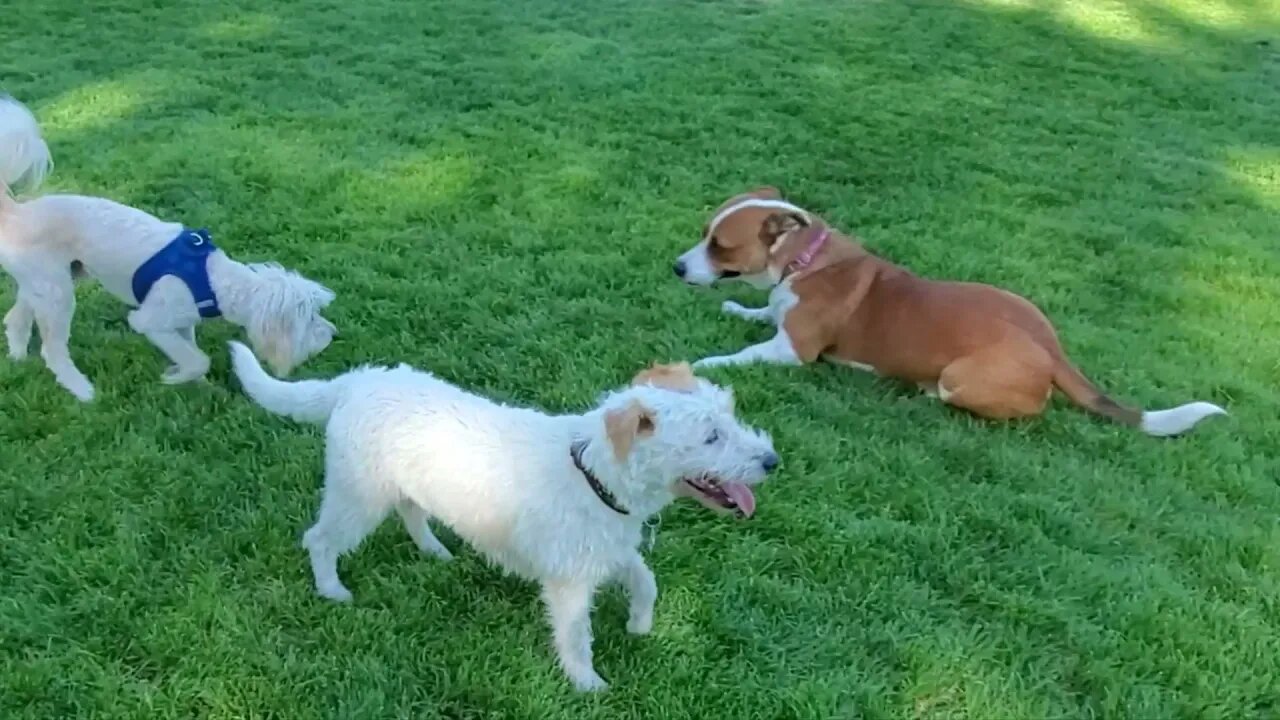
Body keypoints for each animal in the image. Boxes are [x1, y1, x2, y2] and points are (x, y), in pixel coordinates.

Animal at [0, 92, 337, 399]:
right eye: (309, 319)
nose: (333, 334)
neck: (213, 280)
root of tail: (17, 212)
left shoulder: (182, 325)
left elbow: (191, 352)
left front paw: (195, 383)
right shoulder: (151, 322)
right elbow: (199, 359)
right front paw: (177, 377)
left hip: (49, 283)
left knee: (15, 318)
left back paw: (17, 357)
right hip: (57, 294)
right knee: (53, 350)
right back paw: (82, 391)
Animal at [227, 340, 778, 691]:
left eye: (729, 416)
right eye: (711, 436)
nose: (772, 461)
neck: (595, 473)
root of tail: (353, 383)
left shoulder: (609, 549)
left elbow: (646, 581)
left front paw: (640, 625)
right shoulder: (570, 582)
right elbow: (576, 636)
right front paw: (589, 685)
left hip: (399, 487)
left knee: (410, 512)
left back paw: (435, 550)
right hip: (357, 496)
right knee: (320, 538)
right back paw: (332, 590)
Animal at [675, 188, 1223, 435]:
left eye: (720, 245)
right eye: (706, 233)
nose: (677, 267)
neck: (801, 261)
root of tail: (1052, 350)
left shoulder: (792, 352)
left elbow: (743, 353)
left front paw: (708, 362)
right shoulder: (781, 321)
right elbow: (759, 314)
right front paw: (738, 306)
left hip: (961, 378)